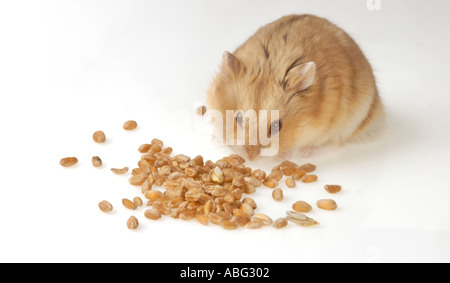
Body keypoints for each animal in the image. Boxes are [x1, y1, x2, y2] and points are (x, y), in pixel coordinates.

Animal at [206, 14, 384, 161]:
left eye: (276, 126)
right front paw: (216, 138)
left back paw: (304, 153)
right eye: (238, 118)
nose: (251, 158)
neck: (271, 67)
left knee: (335, 144)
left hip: (351, 121)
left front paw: (286, 155)